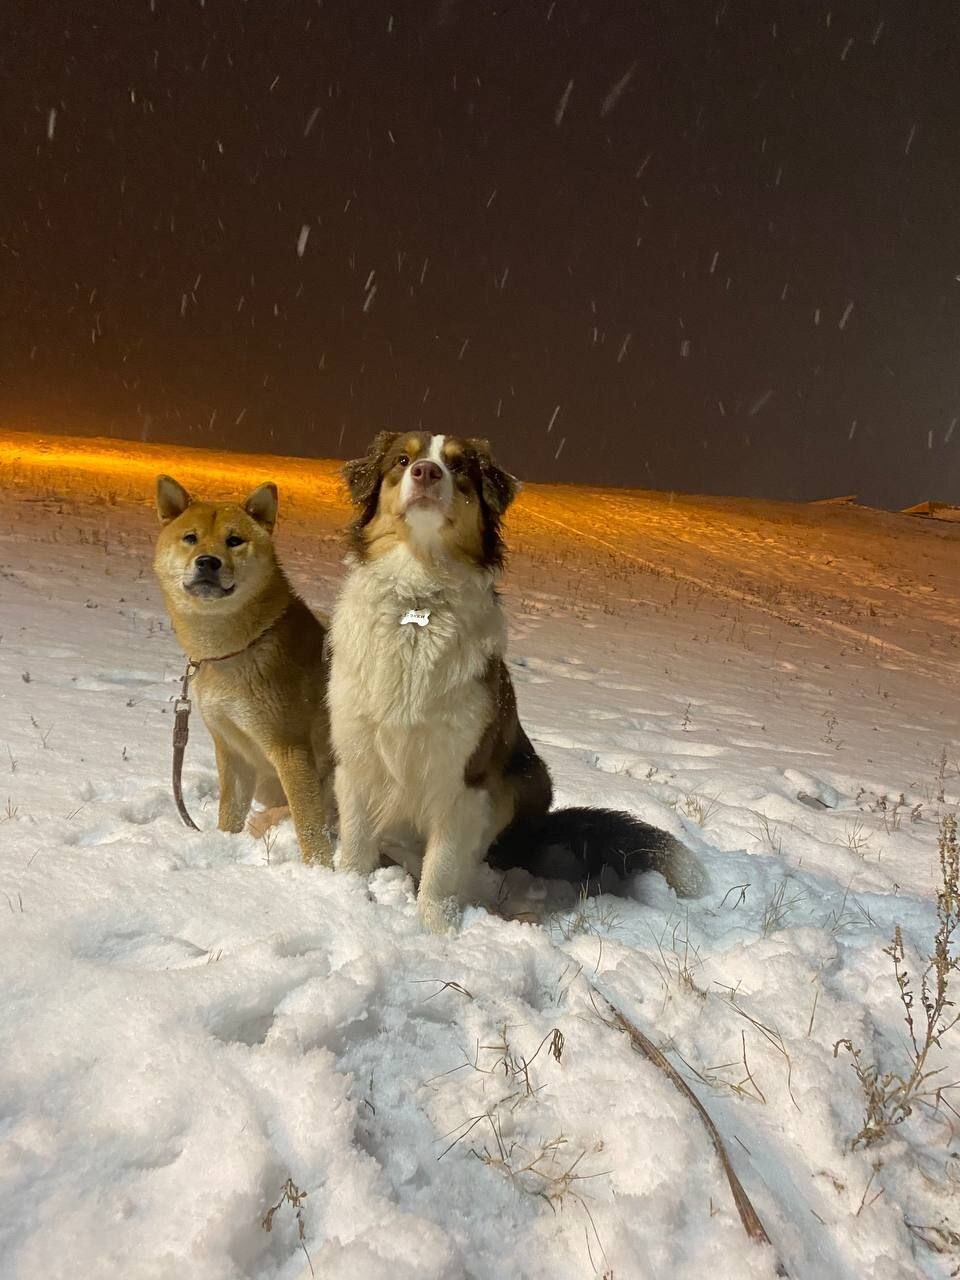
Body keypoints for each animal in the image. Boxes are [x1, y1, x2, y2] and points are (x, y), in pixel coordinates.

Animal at [154, 476, 337, 865]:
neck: (232, 651)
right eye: (190, 537)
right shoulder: (232, 748)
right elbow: (230, 812)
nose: (208, 562)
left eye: (234, 540)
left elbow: (309, 826)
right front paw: (225, 844)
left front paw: (319, 869)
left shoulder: (291, 749)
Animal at [327, 430, 701, 931]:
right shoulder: (357, 755)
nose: (426, 472)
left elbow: (442, 868)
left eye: (458, 466)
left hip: (527, 776)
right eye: (402, 460)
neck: (417, 604)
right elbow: (354, 847)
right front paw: (346, 899)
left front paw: (437, 930)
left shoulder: (464, 776)